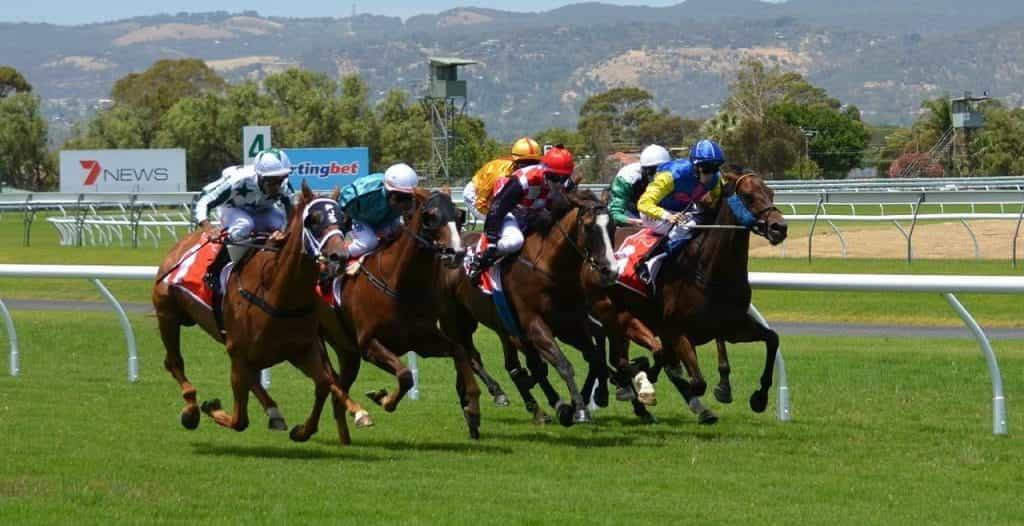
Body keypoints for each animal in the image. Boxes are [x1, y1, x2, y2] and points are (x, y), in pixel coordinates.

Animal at [195, 182, 356, 444]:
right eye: (313, 220)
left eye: (344, 220)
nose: (339, 257)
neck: (278, 293)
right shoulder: (238, 351)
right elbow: (239, 419)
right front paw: (212, 407)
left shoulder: (304, 348)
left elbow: (324, 383)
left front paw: (303, 430)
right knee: (239, 229)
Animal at [315, 188, 483, 437]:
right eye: (431, 216)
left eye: (459, 215)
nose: (457, 253)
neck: (399, 284)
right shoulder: (368, 344)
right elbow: (405, 376)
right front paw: (382, 398)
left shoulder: (422, 341)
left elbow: (460, 351)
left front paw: (472, 408)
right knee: (326, 382)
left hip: (347, 351)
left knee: (338, 390)